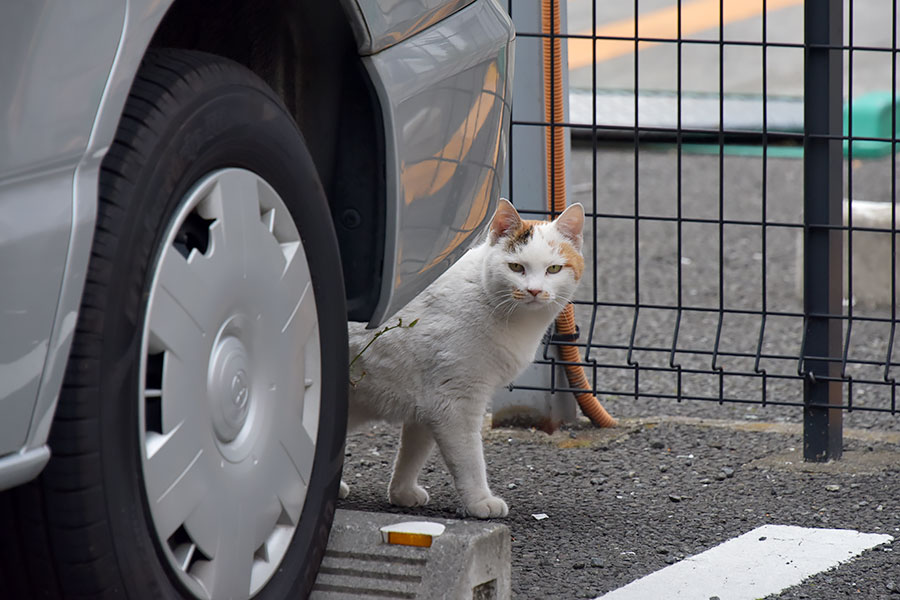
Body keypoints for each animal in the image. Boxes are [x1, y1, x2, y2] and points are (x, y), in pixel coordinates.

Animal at [342, 199, 588, 516]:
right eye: (516, 267)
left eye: (554, 269)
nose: (533, 290)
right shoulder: (455, 401)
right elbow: (469, 460)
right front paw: (480, 501)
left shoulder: (427, 402)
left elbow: (412, 452)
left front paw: (401, 492)